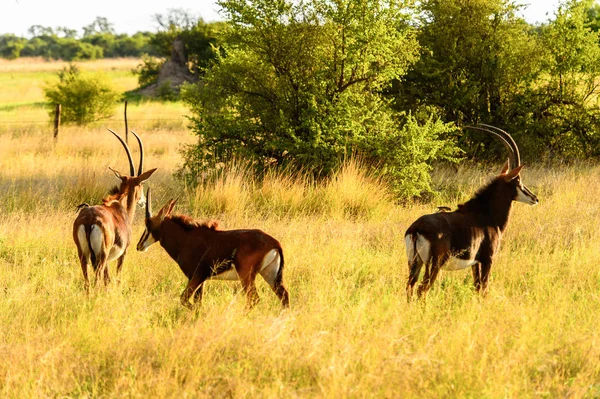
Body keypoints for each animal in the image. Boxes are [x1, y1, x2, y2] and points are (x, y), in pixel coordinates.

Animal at [72, 130, 156, 290]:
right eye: (141, 183)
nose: (143, 201)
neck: (120, 207)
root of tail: (89, 220)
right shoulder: (124, 252)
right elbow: (116, 277)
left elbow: (108, 279)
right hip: (101, 255)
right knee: (97, 280)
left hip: (83, 254)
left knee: (87, 282)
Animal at [135, 189, 288, 310]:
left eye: (147, 223)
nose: (139, 245)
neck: (185, 239)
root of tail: (274, 242)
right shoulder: (200, 279)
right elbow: (197, 302)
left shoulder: (197, 276)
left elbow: (184, 299)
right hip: (270, 275)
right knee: (284, 296)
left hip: (247, 276)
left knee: (254, 299)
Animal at [404, 124, 540, 300]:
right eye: (518, 180)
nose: (535, 198)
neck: (486, 214)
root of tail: (416, 229)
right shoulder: (488, 259)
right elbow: (484, 288)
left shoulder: (474, 263)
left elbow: (476, 287)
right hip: (434, 264)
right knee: (422, 289)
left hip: (414, 262)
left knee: (410, 287)